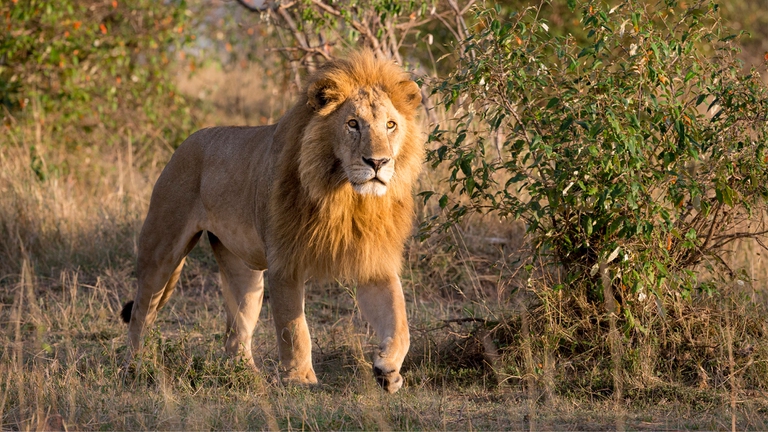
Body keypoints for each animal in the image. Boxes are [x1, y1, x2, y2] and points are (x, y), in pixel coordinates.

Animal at [120, 50, 424, 393]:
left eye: (390, 125)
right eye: (352, 124)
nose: (378, 162)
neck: (346, 197)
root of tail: (187, 141)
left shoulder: (375, 260)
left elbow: (399, 321)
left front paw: (388, 370)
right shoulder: (285, 262)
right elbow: (294, 327)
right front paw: (300, 379)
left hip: (243, 270)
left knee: (235, 331)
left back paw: (247, 378)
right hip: (161, 248)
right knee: (141, 312)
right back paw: (135, 367)